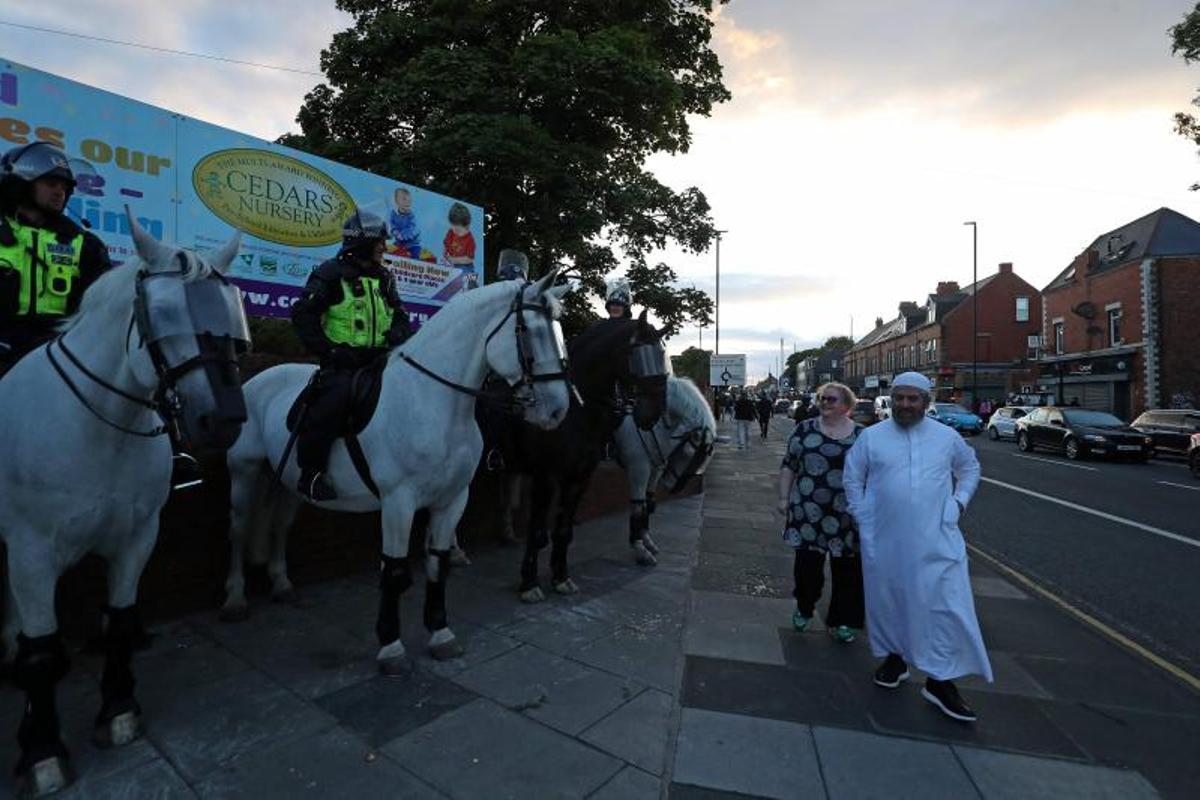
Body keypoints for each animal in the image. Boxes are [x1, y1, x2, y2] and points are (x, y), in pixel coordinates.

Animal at [0, 215, 246, 796]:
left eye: (231, 317)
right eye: (164, 315)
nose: (223, 420)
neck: (100, 426)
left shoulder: (137, 537)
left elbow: (118, 620)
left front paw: (117, 710)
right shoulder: (30, 550)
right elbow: (42, 652)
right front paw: (42, 750)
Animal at [224, 272, 571, 671]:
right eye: (530, 331)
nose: (559, 410)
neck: (432, 400)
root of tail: (259, 378)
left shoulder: (453, 499)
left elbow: (437, 566)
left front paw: (441, 634)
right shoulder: (398, 501)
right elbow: (393, 571)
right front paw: (391, 646)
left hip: (287, 483)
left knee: (279, 526)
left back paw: (282, 584)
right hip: (245, 471)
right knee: (238, 529)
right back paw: (235, 599)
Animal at [614, 376, 715, 561]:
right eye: (689, 454)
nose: (672, 487)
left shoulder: (655, 469)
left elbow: (648, 503)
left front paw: (646, 540)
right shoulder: (638, 469)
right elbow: (638, 507)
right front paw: (640, 549)